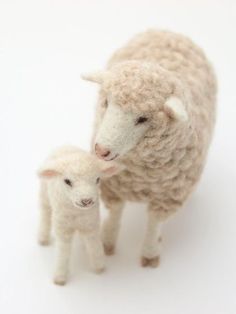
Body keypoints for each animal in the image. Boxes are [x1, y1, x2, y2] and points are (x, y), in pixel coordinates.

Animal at [37, 146, 121, 286]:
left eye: (97, 179)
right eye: (67, 181)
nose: (86, 200)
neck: (76, 212)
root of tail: (65, 146)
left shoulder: (91, 224)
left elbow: (94, 246)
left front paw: (99, 268)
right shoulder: (62, 229)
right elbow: (62, 253)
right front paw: (60, 278)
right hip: (44, 195)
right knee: (45, 213)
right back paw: (43, 239)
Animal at [83, 29, 218, 266]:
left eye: (143, 118)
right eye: (106, 102)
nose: (101, 150)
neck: (140, 177)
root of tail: (168, 32)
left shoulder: (168, 196)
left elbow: (154, 223)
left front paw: (150, 254)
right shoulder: (113, 185)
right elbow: (115, 212)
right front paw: (107, 242)